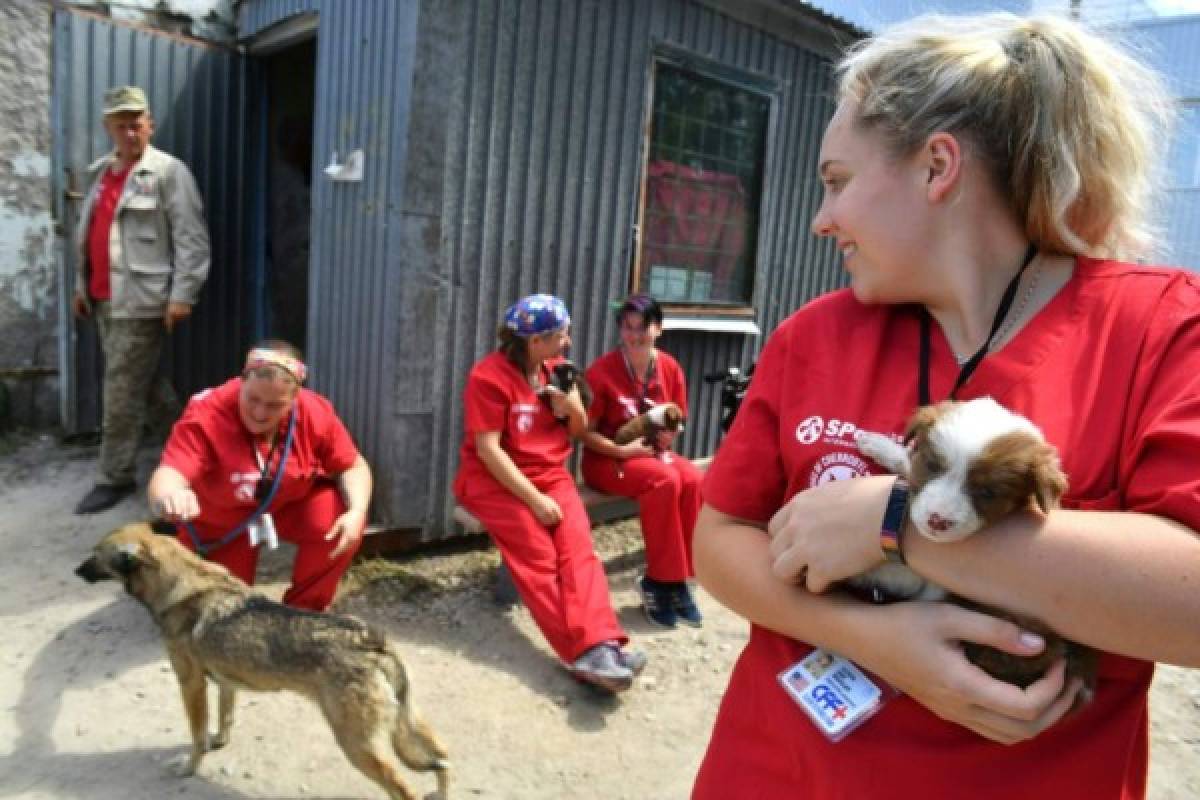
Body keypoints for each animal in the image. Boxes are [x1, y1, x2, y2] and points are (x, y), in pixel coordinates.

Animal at [75, 525, 451, 800]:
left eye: (95, 553)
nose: (76, 570)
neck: (180, 579)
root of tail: (373, 643)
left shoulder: (190, 684)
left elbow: (197, 737)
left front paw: (189, 768)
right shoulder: (226, 683)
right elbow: (224, 719)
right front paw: (219, 742)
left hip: (358, 746)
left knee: (404, 789)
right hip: (409, 723)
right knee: (443, 759)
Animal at [849, 400, 1094, 695]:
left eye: (988, 492)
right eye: (932, 466)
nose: (937, 520)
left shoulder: (936, 583)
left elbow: (895, 570)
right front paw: (882, 446)